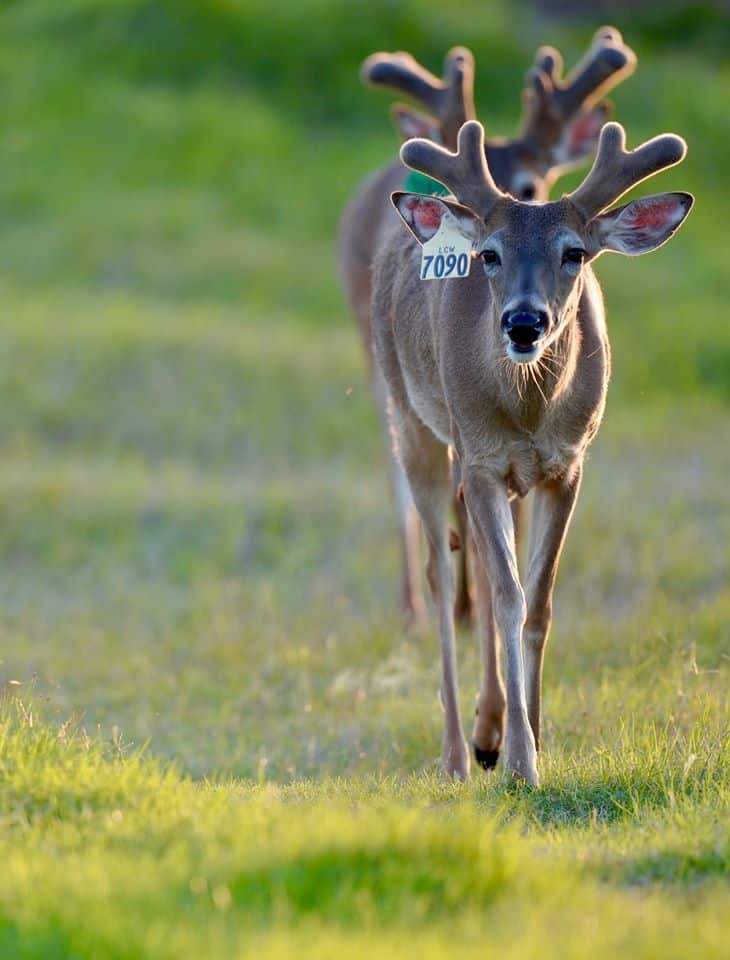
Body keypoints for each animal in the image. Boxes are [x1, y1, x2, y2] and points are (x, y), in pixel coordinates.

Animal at [338, 27, 637, 629]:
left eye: (531, 183)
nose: (523, 322)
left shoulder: (552, 459)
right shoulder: (472, 440)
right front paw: (465, 608)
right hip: (386, 376)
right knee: (406, 489)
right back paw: (422, 607)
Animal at [370, 119, 692, 785]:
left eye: (575, 253)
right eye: (490, 255)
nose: (524, 323)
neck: (527, 414)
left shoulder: (567, 464)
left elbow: (539, 601)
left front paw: (535, 740)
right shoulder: (482, 459)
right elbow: (508, 598)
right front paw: (521, 762)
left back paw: (486, 731)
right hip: (412, 419)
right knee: (442, 574)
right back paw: (456, 755)